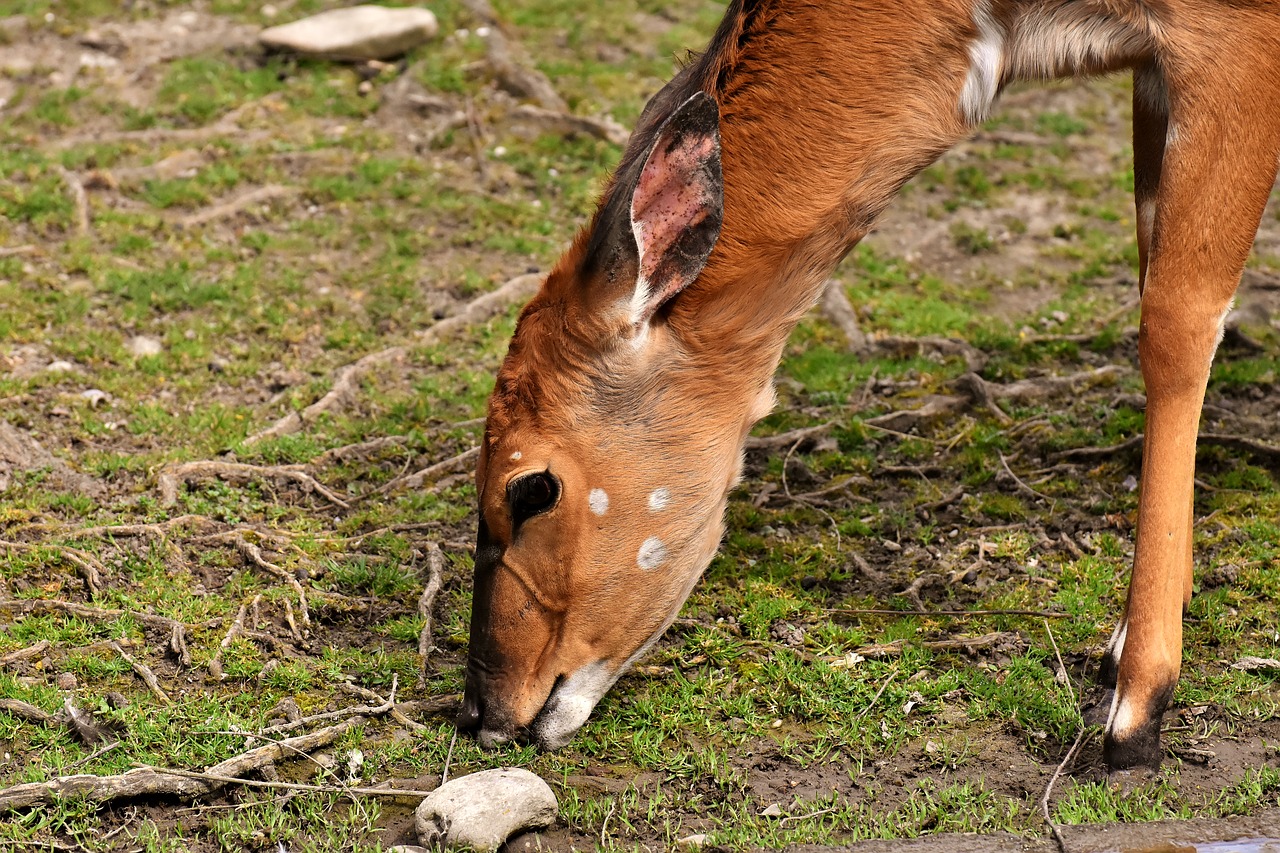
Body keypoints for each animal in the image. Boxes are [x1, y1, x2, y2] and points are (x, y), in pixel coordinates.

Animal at [458, 0, 1280, 768]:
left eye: (531, 489)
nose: (482, 711)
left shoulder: (1226, 41)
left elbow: (1175, 323)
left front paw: (1135, 712)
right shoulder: (1154, 70)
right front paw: (1120, 645)